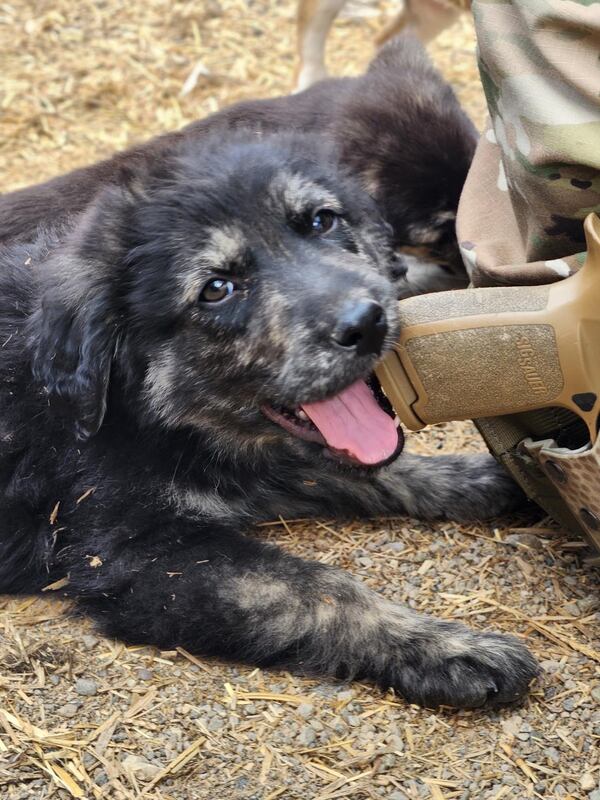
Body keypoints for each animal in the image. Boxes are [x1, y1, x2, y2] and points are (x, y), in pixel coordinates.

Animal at [0, 40, 536, 708]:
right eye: (217, 289)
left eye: (322, 221)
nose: (368, 323)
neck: (136, 412)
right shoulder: (137, 550)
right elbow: (322, 589)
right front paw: (446, 649)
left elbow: (374, 469)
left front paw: (474, 477)